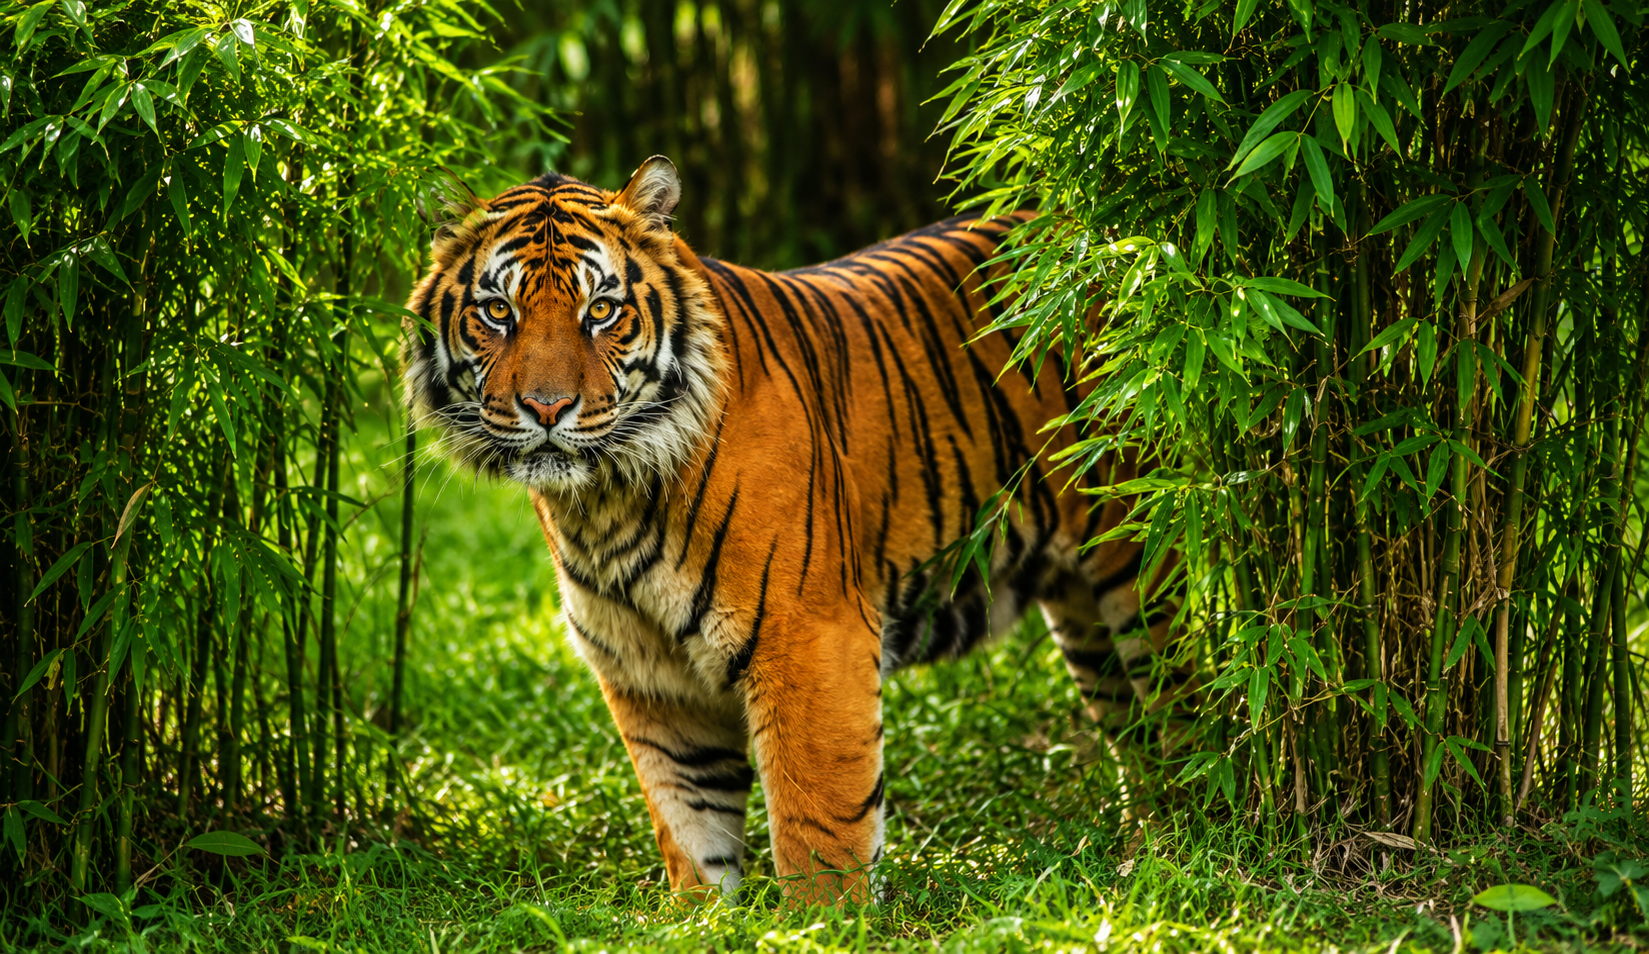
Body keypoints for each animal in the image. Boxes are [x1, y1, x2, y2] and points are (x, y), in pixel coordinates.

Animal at [401, 156, 1189, 903]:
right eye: (497, 311)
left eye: (601, 310)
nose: (545, 407)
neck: (605, 501)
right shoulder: (649, 676)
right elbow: (689, 824)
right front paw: (703, 921)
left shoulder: (809, 638)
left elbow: (818, 825)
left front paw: (820, 924)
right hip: (1084, 615)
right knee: (1136, 730)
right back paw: (1144, 848)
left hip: (1145, 565)